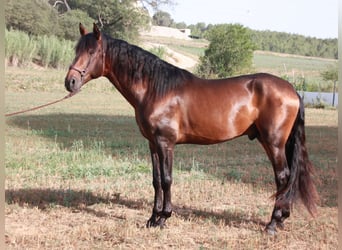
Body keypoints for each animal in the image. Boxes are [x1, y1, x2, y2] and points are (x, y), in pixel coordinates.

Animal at [64, 23, 318, 234]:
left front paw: (164, 218)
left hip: (274, 143)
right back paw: (281, 219)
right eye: (77, 50)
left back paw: (273, 224)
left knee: (283, 177)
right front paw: (152, 219)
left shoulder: (166, 143)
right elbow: (156, 180)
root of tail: (292, 90)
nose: (70, 82)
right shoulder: (152, 144)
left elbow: (167, 179)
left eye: (92, 52)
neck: (155, 89)